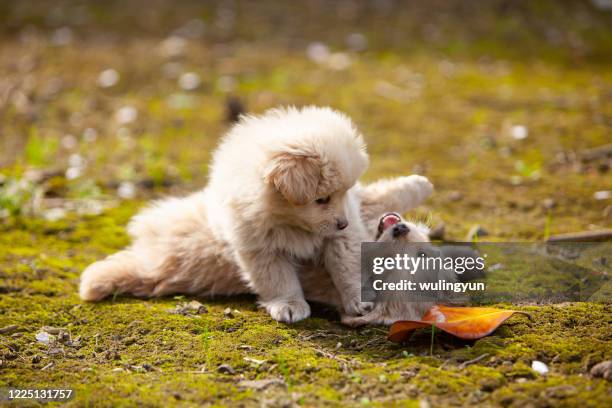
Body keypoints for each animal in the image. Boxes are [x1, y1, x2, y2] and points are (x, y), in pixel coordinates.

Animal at [81, 107, 432, 324]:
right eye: (321, 199)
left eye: (341, 192)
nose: (342, 221)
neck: (292, 222)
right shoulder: (261, 247)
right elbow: (278, 278)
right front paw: (290, 306)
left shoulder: (345, 232)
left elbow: (347, 264)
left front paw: (357, 301)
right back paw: (94, 279)